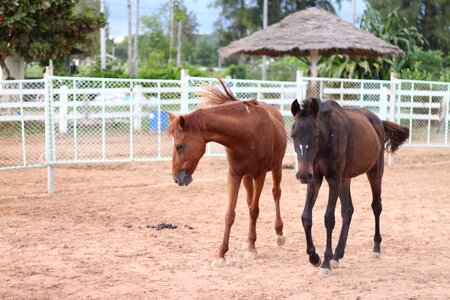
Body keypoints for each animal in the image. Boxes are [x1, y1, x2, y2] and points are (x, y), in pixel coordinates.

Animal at [167, 78, 286, 264]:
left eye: (179, 146)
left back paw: (278, 234)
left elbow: (254, 210)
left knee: (276, 194)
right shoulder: (234, 175)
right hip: (247, 177)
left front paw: (252, 249)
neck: (247, 132)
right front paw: (222, 253)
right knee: (249, 200)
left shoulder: (260, 175)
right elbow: (230, 214)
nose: (176, 179)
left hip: (276, 168)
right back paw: (248, 240)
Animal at [290, 97, 410, 276]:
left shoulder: (333, 179)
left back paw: (376, 248)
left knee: (376, 206)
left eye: (316, 134)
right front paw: (314, 257)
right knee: (347, 210)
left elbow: (329, 219)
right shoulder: (316, 179)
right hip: (345, 179)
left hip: (375, 173)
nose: (303, 175)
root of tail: (378, 122)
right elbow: (306, 217)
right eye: (293, 135)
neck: (327, 137)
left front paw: (325, 263)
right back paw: (337, 255)